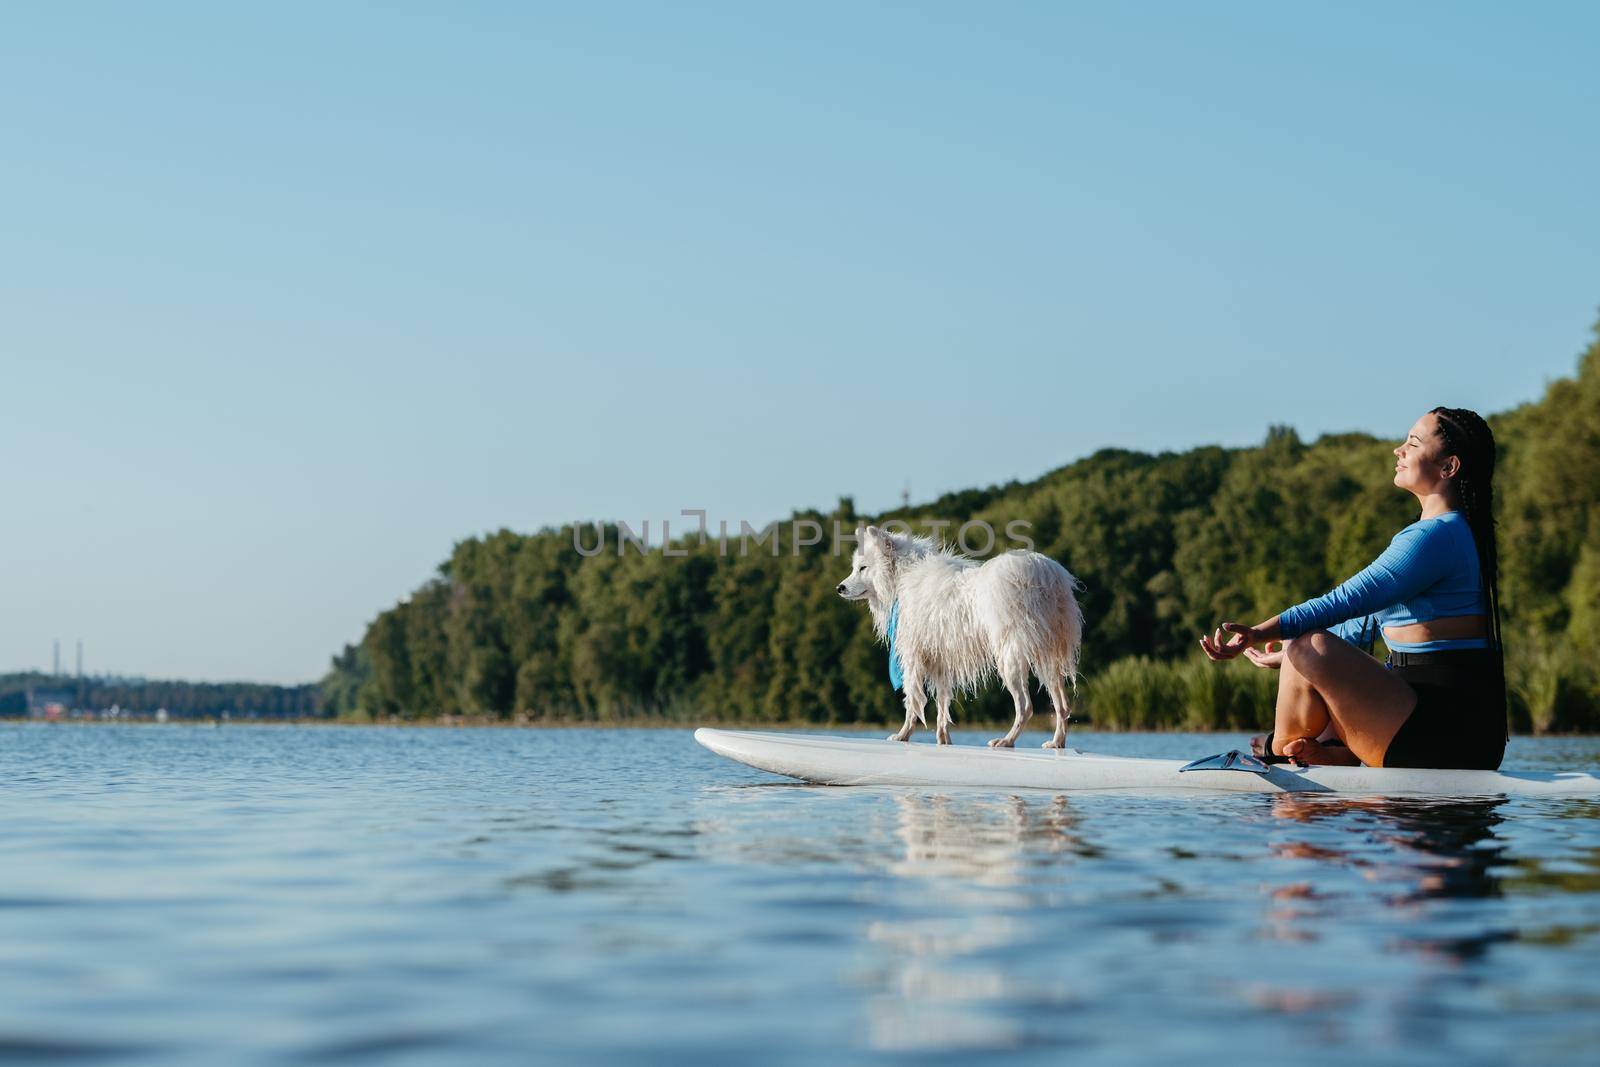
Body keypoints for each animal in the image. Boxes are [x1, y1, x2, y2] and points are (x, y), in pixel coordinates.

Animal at [838, 527, 1088, 748]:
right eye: (854, 568)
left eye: (862, 568)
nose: (839, 588)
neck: (902, 576)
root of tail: (1047, 573)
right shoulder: (940, 660)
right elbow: (942, 703)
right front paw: (943, 739)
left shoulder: (913, 657)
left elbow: (913, 701)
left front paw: (902, 735)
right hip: (1048, 657)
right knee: (1062, 705)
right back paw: (1056, 742)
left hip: (1010, 657)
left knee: (1025, 707)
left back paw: (1006, 741)